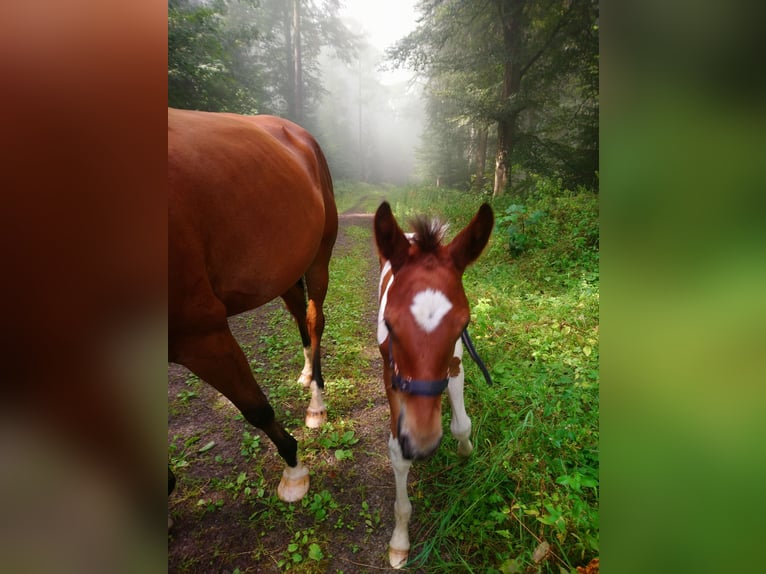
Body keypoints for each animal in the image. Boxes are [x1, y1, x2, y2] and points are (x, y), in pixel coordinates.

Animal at [170, 109, 338, 504]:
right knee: (300, 316)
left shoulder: (200, 334)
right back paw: (306, 374)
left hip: (318, 258)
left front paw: (294, 470)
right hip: (285, 269)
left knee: (314, 320)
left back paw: (316, 404)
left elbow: (256, 409)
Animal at [376, 201, 496, 568]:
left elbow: (462, 425)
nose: (422, 443)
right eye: (390, 324)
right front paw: (400, 540)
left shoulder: (455, 364)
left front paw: (465, 451)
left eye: (464, 323)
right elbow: (398, 453)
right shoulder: (392, 375)